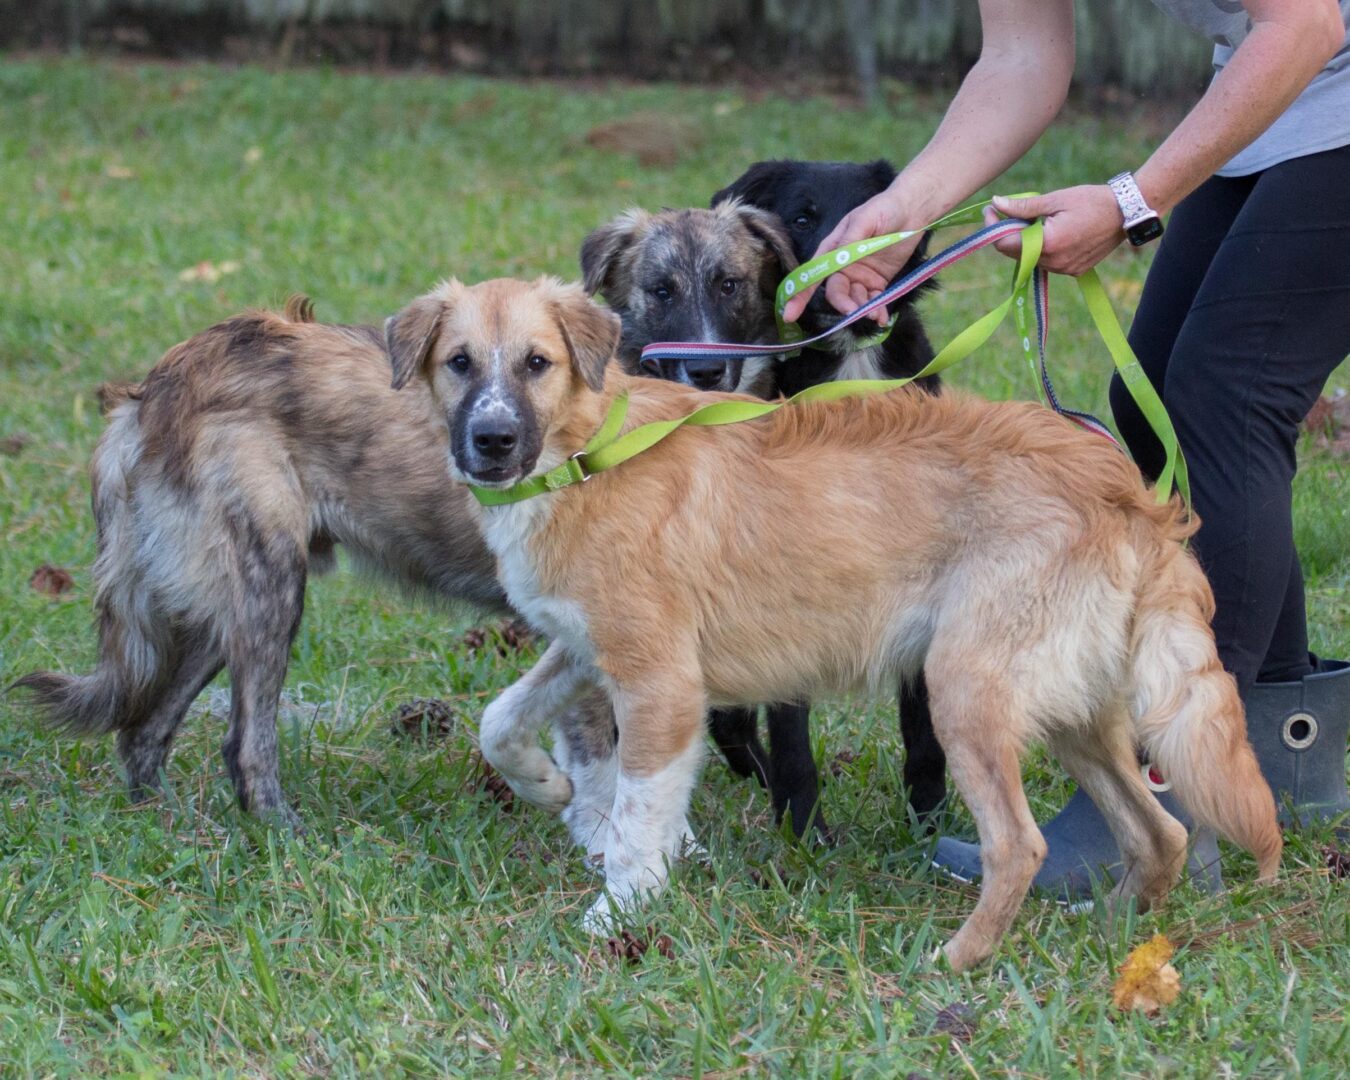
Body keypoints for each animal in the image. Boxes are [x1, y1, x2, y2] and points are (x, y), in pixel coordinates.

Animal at [388, 276, 1274, 972]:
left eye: (537, 363)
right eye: (459, 362)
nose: (492, 442)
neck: (588, 450)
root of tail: (1125, 491)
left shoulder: (661, 685)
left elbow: (640, 820)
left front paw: (619, 912)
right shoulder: (584, 649)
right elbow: (498, 721)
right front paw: (545, 783)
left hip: (964, 693)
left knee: (1021, 846)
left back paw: (957, 960)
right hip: (1075, 716)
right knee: (1160, 835)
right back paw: (1110, 928)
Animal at [707, 155, 950, 831]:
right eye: (801, 217)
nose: (840, 279)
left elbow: (923, 722)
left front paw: (930, 820)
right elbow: (791, 729)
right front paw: (803, 829)